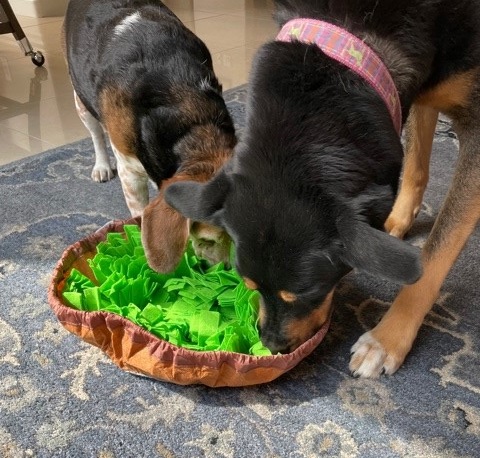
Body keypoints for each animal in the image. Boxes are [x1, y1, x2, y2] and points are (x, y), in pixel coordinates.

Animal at [62, 0, 235, 272]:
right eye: (208, 239)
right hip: (80, 99)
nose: (224, 272)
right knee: (96, 134)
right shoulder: (130, 174)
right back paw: (102, 166)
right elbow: (139, 217)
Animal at [165, 0, 480, 378]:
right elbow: (416, 163)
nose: (271, 346)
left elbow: (433, 257)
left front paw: (386, 339)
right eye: (248, 284)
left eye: (307, 293)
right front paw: (397, 221)